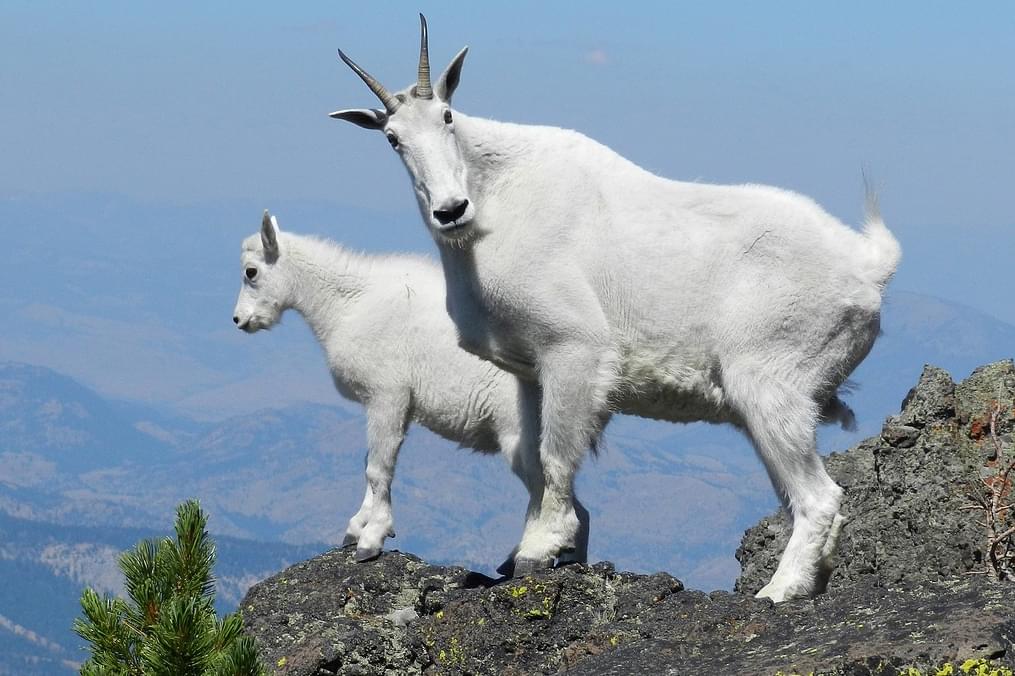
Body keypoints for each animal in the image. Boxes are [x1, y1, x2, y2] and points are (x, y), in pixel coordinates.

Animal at [232, 210, 590, 567]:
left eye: (251, 271)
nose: (239, 320)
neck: (345, 305)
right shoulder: (395, 405)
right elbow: (371, 462)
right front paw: (356, 528)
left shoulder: (386, 395)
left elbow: (378, 468)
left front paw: (371, 539)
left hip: (519, 432)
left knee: (549, 491)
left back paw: (533, 555)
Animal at [329, 16, 901, 601]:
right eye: (393, 139)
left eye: (447, 116)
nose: (450, 210)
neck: (493, 206)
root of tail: (867, 267)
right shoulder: (529, 370)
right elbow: (534, 455)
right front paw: (529, 548)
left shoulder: (573, 349)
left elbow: (557, 453)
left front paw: (540, 549)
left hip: (769, 382)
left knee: (819, 497)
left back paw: (778, 591)